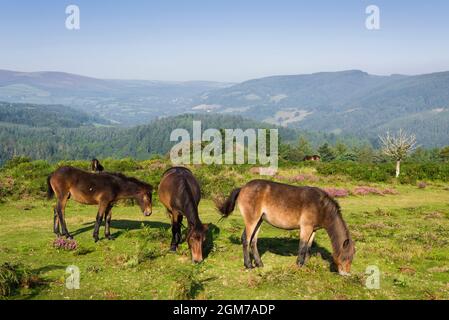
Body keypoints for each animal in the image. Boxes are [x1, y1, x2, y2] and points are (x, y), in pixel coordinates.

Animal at [216, 180, 354, 276]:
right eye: (345, 257)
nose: (346, 274)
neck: (320, 206)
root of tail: (243, 188)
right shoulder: (306, 228)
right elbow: (302, 247)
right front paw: (298, 266)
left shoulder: (313, 230)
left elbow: (308, 248)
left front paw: (305, 266)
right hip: (252, 220)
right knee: (246, 239)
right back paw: (249, 265)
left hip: (259, 220)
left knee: (253, 241)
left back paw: (260, 264)